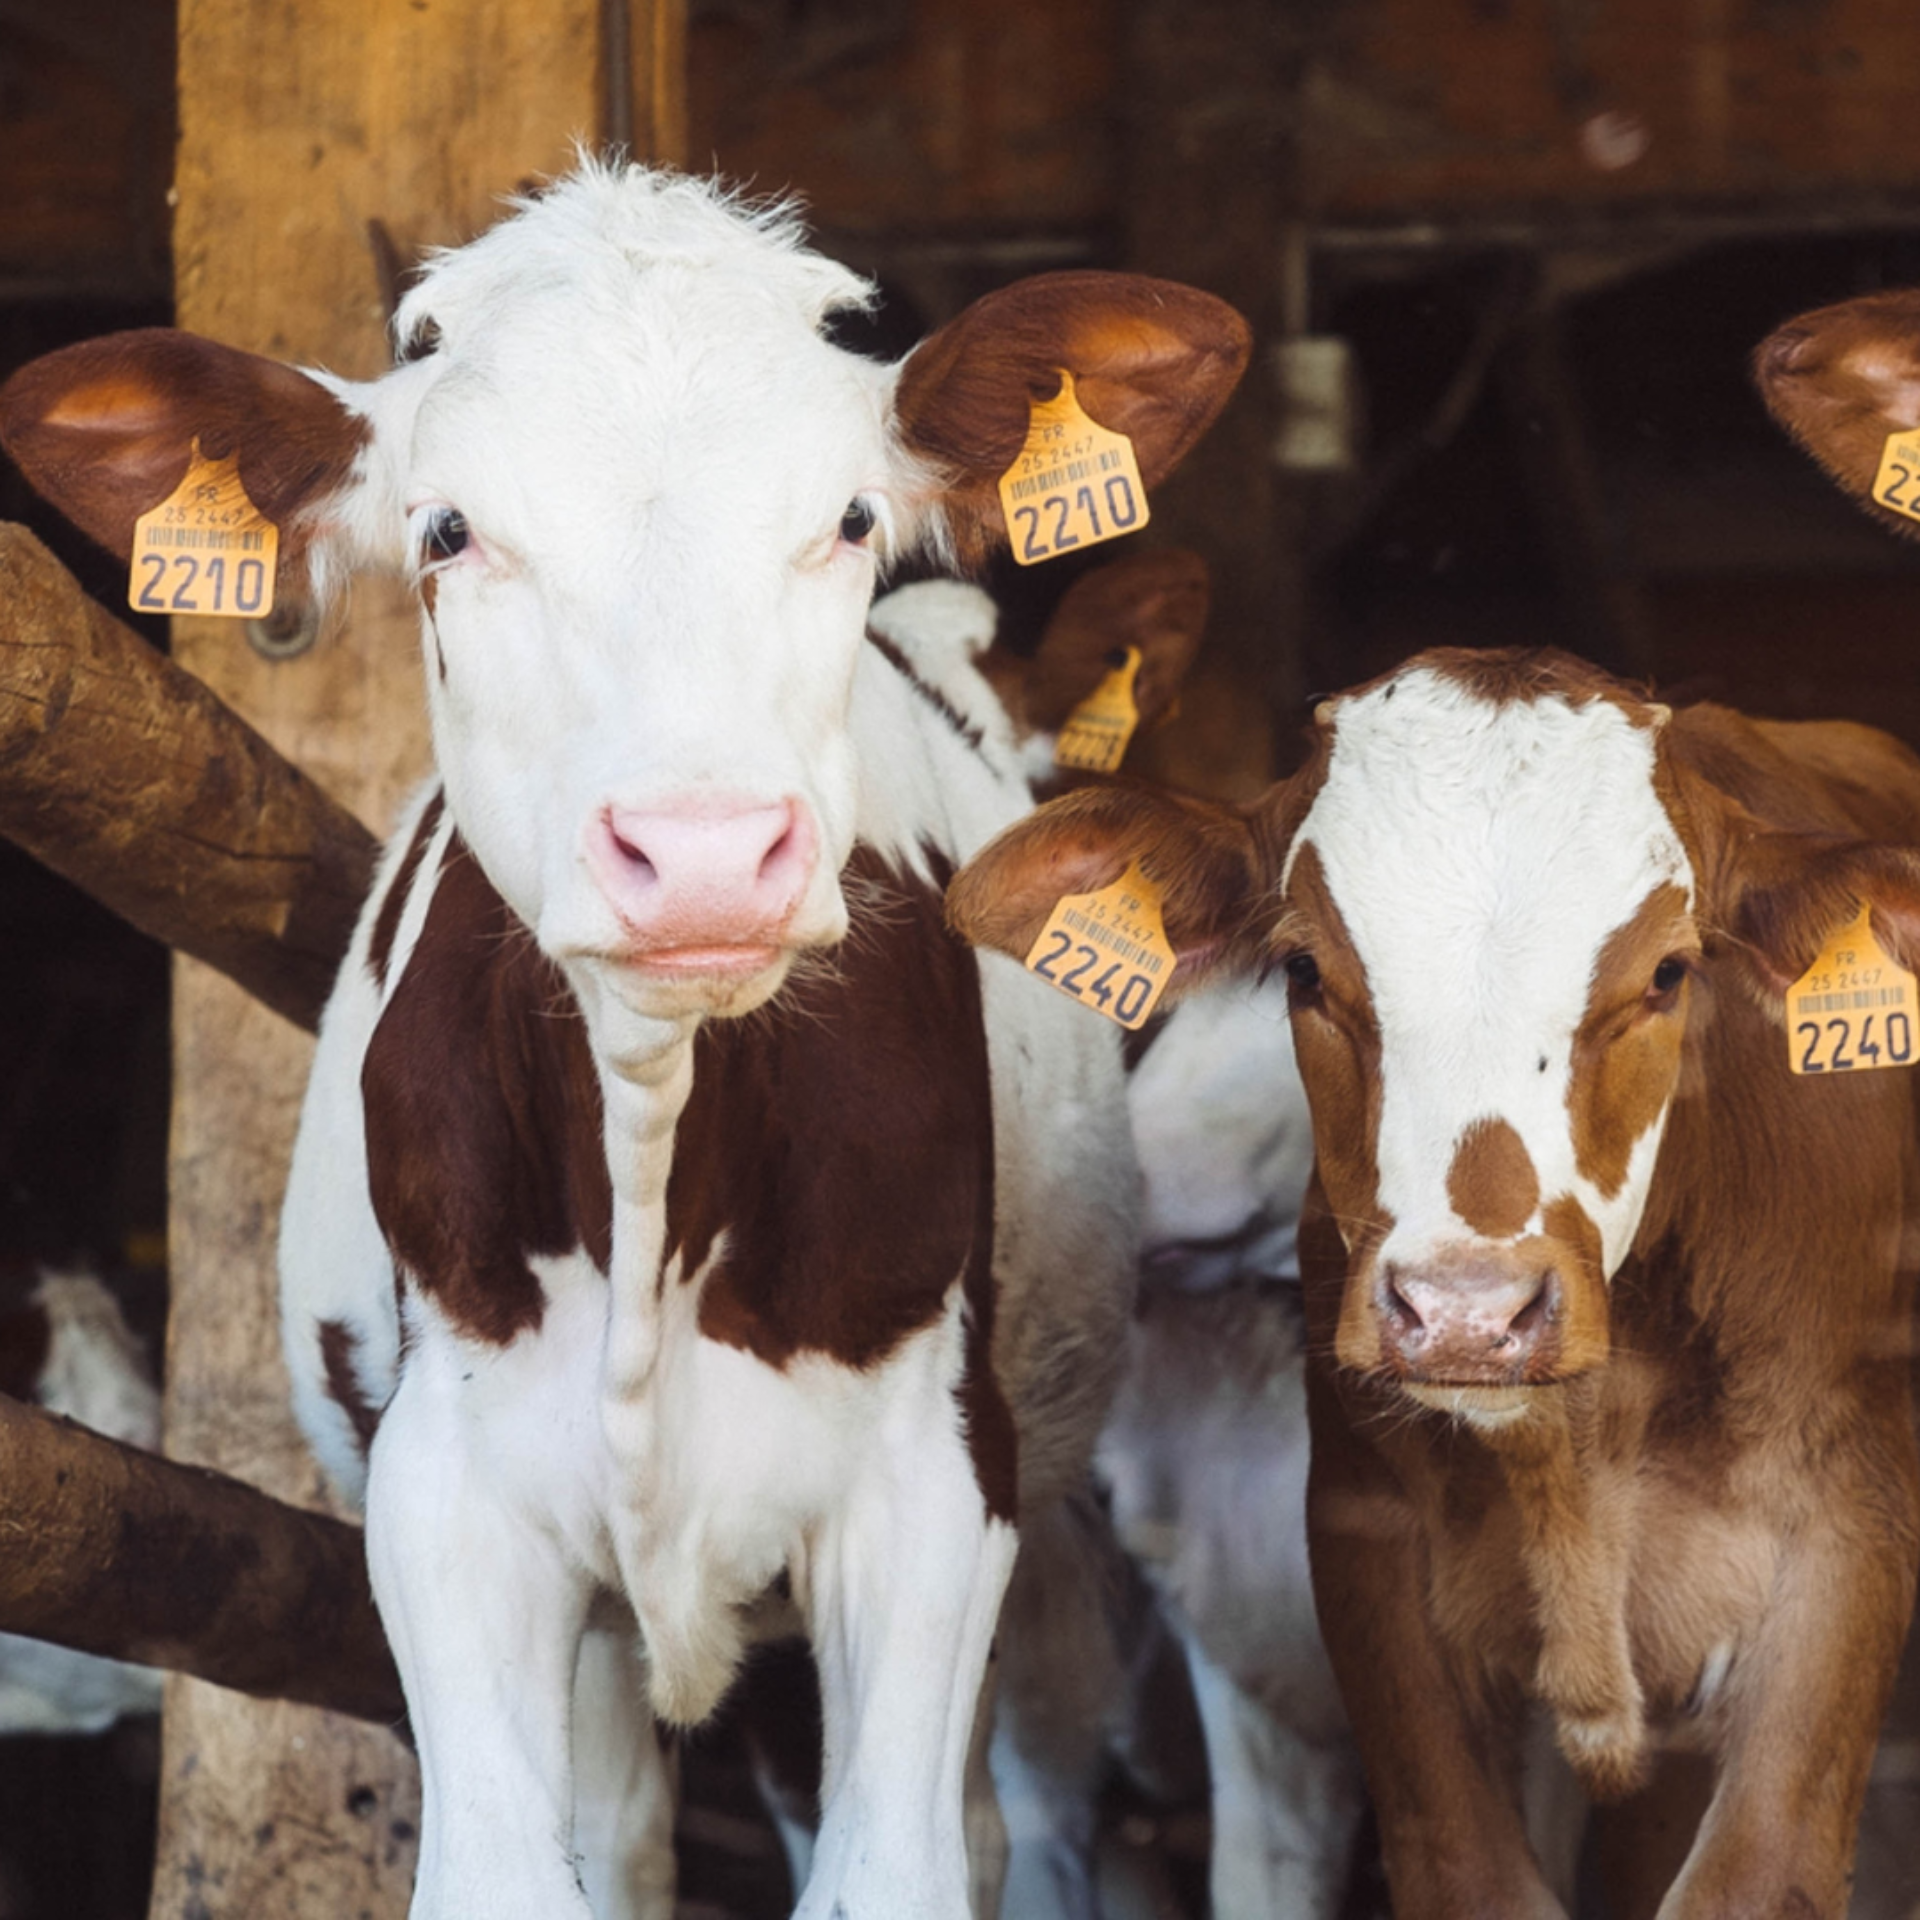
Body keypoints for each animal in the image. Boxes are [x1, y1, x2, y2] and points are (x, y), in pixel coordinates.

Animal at [0, 158, 1248, 1920]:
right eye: (447, 529)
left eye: (850, 517)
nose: (706, 852)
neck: (656, 1157)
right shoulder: (448, 1498)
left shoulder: (934, 1491)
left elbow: (891, 1866)